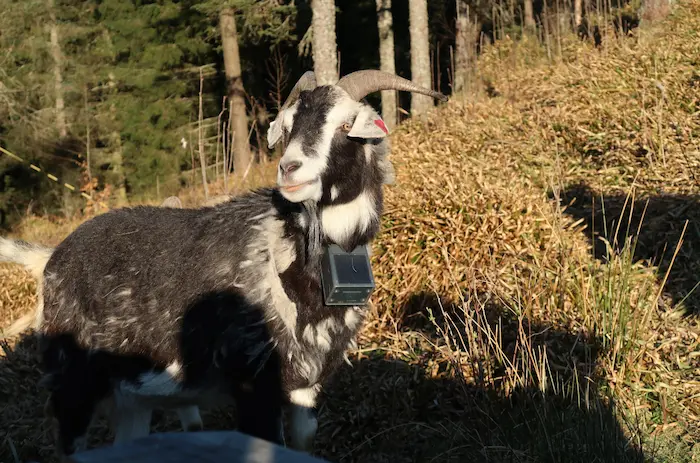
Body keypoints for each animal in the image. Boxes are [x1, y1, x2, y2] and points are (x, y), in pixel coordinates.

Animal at [0, 69, 447, 460]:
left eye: (346, 125)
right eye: (288, 127)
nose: (289, 169)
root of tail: (49, 258)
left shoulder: (305, 382)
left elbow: (303, 440)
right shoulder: (254, 381)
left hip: (132, 395)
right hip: (71, 381)